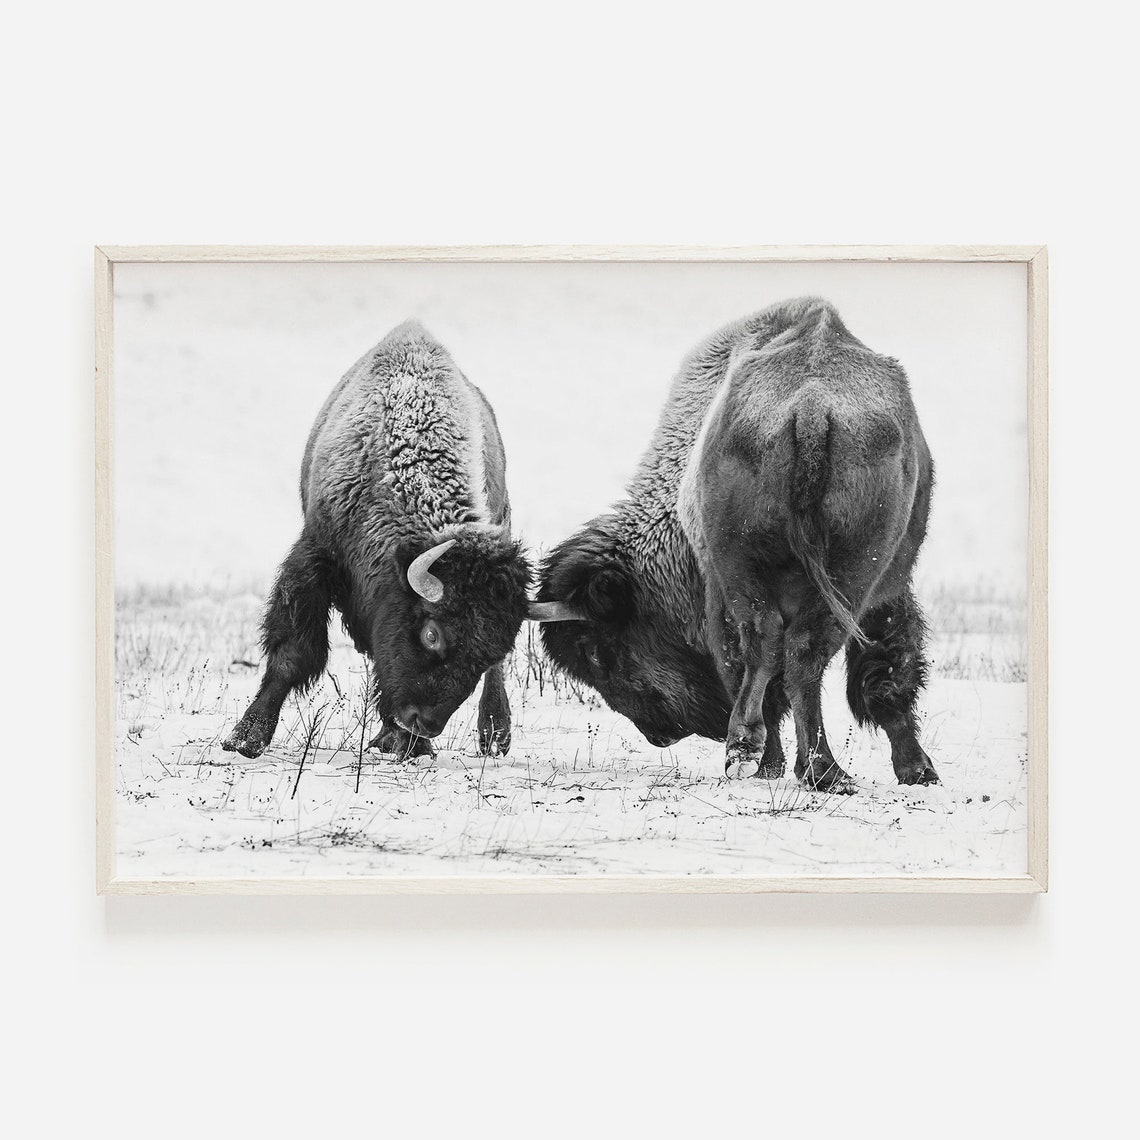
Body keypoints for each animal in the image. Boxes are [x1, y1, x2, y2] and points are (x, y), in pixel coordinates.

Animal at [223, 320, 531, 761]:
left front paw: (406, 744)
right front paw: (243, 739)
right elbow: (292, 654)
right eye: (432, 634)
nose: (423, 723)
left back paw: (491, 736)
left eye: (488, 651)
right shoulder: (316, 556)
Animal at [535, 298, 939, 792]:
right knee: (792, 654)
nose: (659, 734)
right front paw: (916, 768)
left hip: (777, 575)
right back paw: (808, 767)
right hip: (841, 577)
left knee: (775, 651)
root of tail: (811, 407)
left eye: (597, 652)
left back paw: (773, 757)